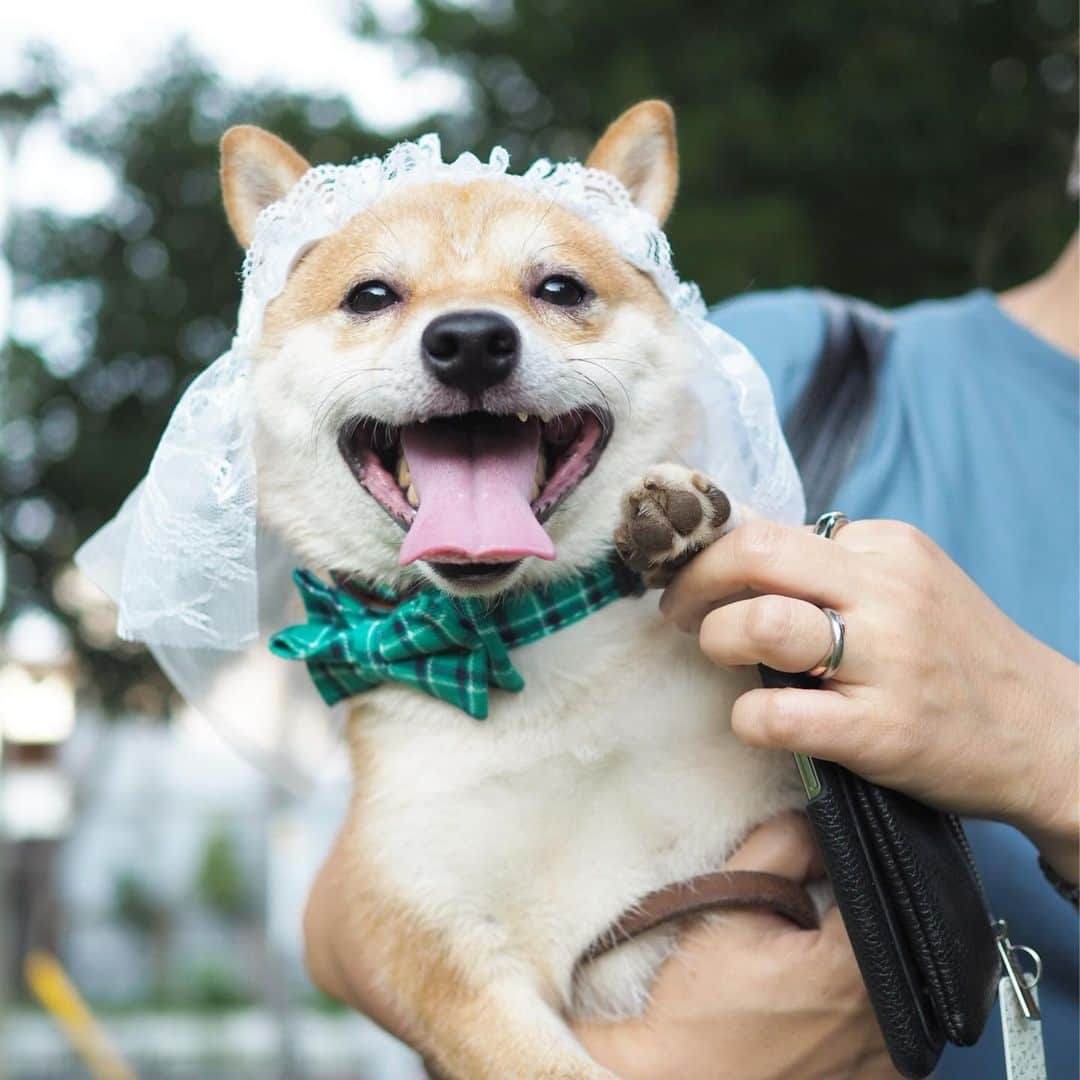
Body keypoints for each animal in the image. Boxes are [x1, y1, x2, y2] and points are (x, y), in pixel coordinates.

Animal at [221, 101, 812, 1080]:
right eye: (372, 296)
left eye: (560, 288)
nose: (469, 340)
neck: (525, 646)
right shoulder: (439, 950)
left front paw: (689, 528)